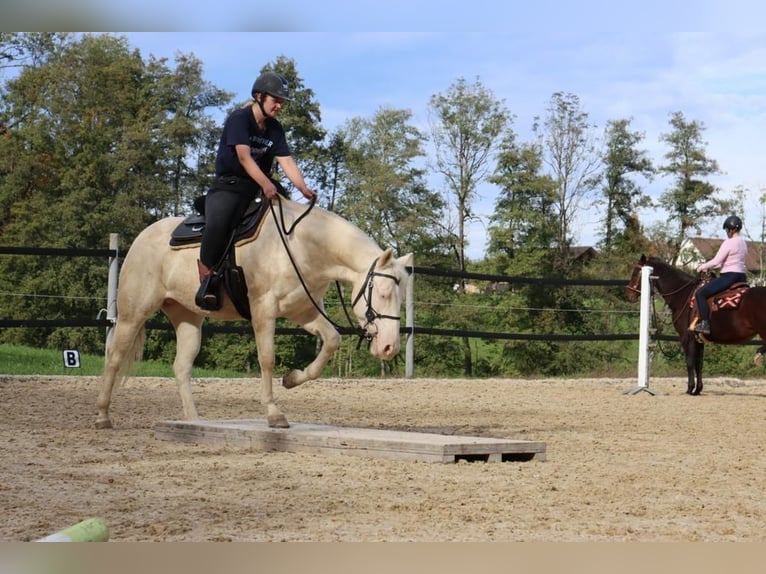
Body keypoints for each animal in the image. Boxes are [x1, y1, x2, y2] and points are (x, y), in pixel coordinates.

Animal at [96, 197, 413, 429]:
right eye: (383, 293)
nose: (389, 347)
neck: (300, 247)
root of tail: (142, 236)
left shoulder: (303, 312)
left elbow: (331, 341)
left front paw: (292, 379)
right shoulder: (264, 310)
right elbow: (267, 359)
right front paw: (274, 413)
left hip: (187, 318)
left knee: (181, 367)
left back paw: (194, 421)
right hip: (133, 314)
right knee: (114, 358)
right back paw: (102, 416)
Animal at [625, 254, 766, 395]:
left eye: (636, 272)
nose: (629, 295)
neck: (684, 295)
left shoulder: (687, 337)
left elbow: (690, 362)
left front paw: (689, 388)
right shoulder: (699, 339)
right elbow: (699, 364)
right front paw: (698, 389)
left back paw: (758, 354)